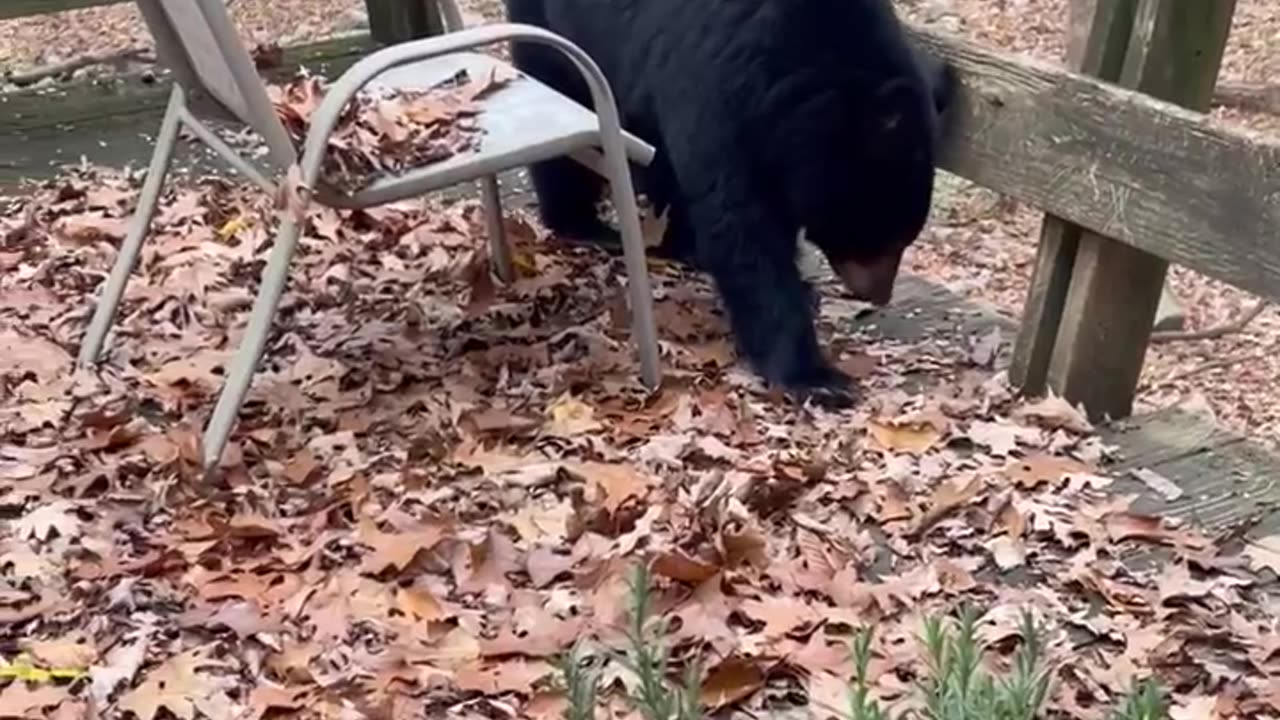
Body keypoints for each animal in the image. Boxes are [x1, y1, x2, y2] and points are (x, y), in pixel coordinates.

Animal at [504, 0, 957, 404]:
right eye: (885, 236)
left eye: (903, 238)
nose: (879, 295)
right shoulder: (722, 87)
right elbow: (742, 230)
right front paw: (817, 378)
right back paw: (583, 223)